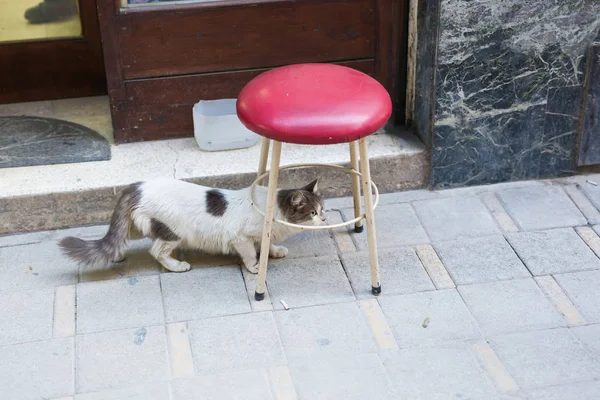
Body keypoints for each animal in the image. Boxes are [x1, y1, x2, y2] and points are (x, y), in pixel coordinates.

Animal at [58, 179, 326, 276]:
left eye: (323, 209)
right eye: (313, 213)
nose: (324, 219)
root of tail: (136, 187)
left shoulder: (260, 234)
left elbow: (267, 244)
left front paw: (276, 251)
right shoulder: (240, 238)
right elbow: (251, 254)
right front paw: (255, 267)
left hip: (136, 225)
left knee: (119, 235)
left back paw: (116, 255)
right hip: (174, 232)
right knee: (156, 251)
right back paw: (177, 266)